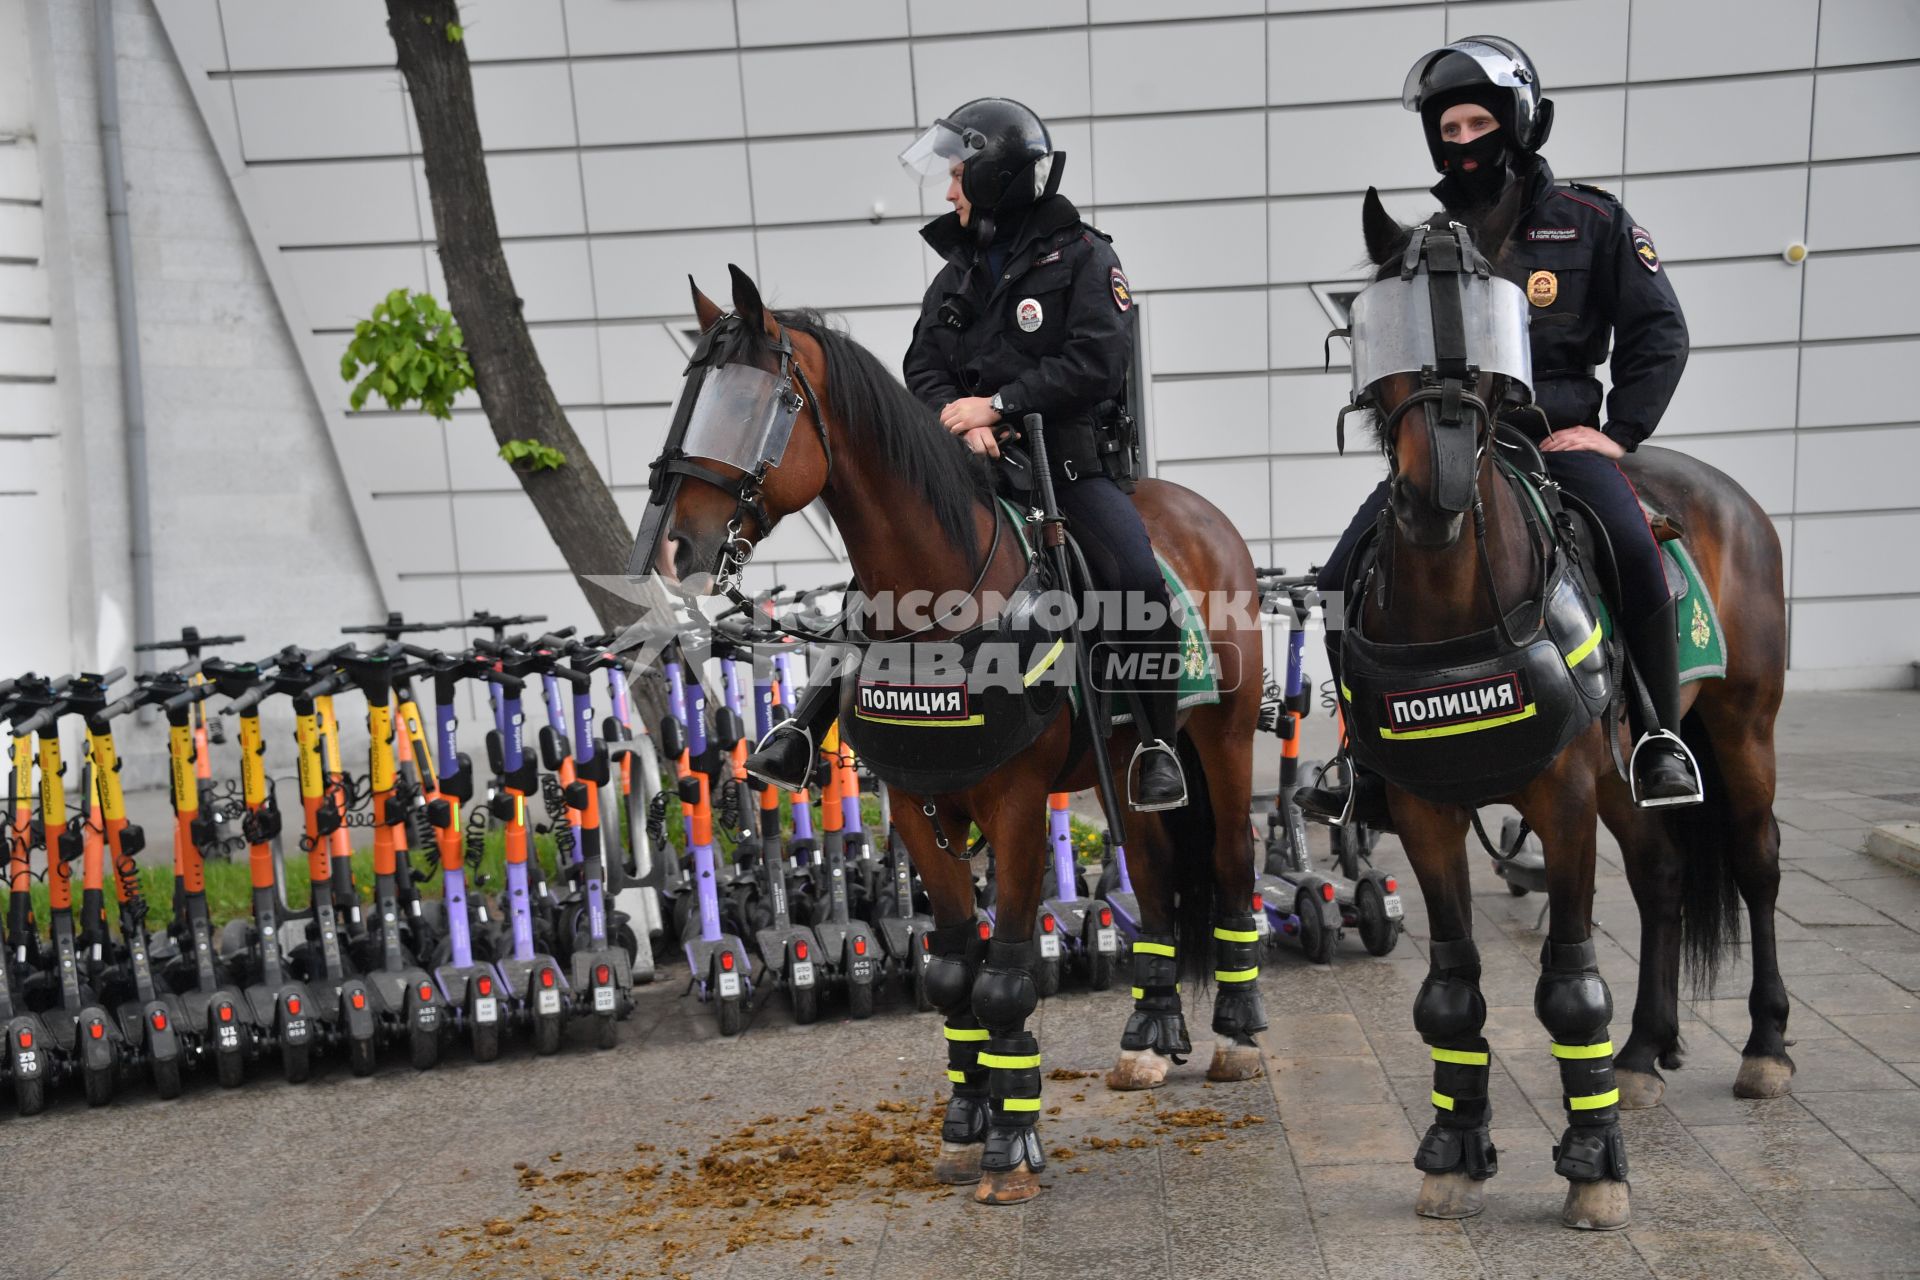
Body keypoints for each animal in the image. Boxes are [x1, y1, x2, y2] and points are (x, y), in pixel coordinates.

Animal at [645, 264, 1274, 1205]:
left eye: (764, 404)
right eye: (691, 394)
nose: (675, 547)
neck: (937, 604)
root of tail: (1198, 512)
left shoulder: (1016, 807)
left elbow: (1006, 979)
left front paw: (1012, 1146)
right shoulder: (916, 804)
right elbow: (949, 974)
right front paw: (968, 1119)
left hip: (1225, 742)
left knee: (1231, 864)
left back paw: (1235, 1033)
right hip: (1126, 764)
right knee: (1158, 875)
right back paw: (1149, 1035)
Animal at [1344, 192, 1789, 1228]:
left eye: (1485, 338)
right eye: (1386, 331)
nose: (1437, 491)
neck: (1454, 606)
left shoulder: (1564, 802)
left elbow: (1569, 985)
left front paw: (1594, 1163)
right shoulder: (1426, 811)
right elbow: (1451, 987)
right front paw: (1455, 1148)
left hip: (1740, 731)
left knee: (1755, 865)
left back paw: (1763, 1048)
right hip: (1629, 777)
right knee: (1664, 874)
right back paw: (1645, 1053)